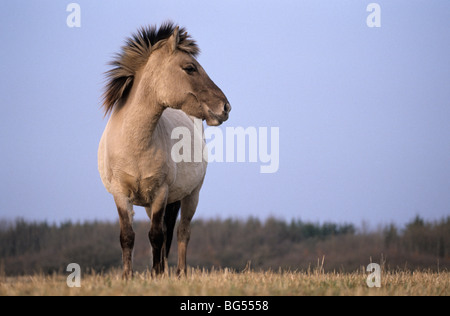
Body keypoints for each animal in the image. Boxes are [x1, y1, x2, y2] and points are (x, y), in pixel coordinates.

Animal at [99, 22, 232, 278]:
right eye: (190, 68)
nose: (225, 107)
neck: (135, 144)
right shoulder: (121, 194)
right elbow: (128, 237)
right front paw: (128, 277)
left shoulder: (161, 193)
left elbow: (157, 236)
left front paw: (157, 275)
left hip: (191, 196)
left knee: (182, 233)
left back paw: (180, 273)